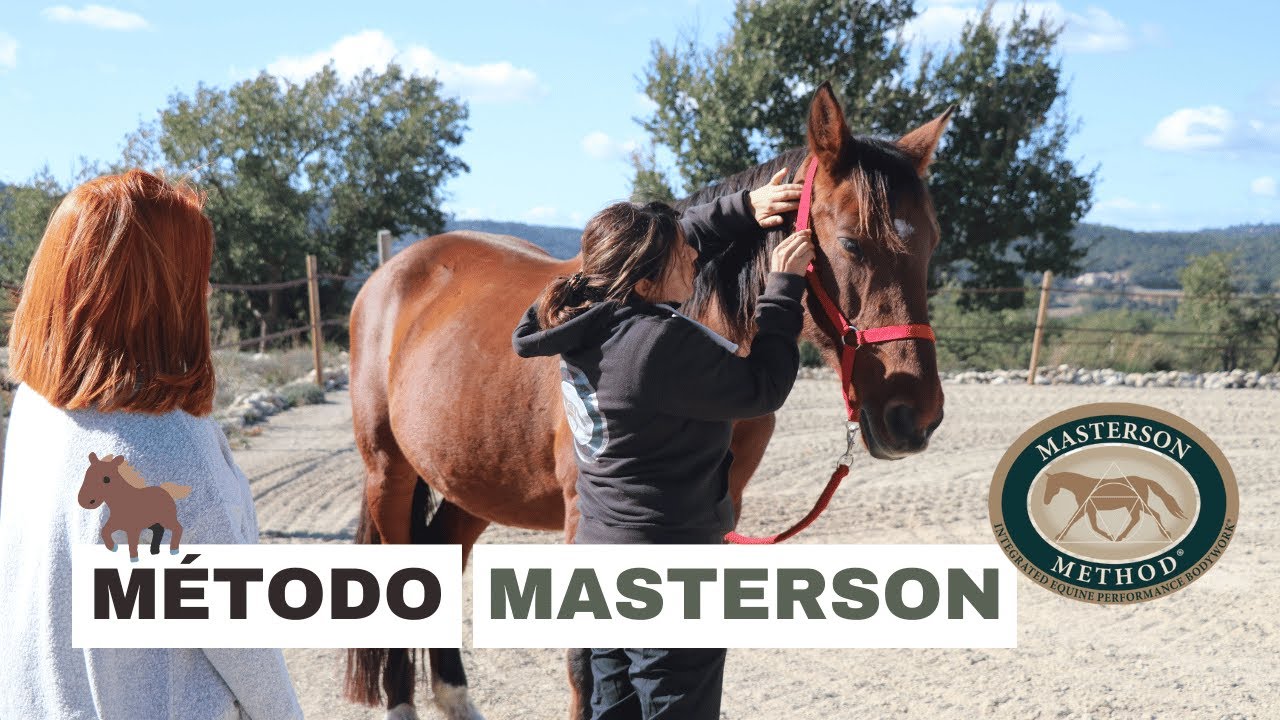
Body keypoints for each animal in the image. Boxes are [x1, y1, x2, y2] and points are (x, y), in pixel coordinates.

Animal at [345, 82, 950, 720]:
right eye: (851, 242)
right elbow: (583, 665)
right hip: (389, 472)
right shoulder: (584, 521)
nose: (914, 415)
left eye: (931, 244)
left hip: (474, 479)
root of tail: (393, 271)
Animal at [1042, 470, 1189, 543]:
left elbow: (1080, 522)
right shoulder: (1088, 509)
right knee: (1139, 518)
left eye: (1051, 484)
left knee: (1149, 515)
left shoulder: (1086, 508)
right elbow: (1088, 524)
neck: (1081, 486)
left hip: (1137, 504)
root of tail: (1144, 480)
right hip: (1134, 505)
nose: (1045, 501)